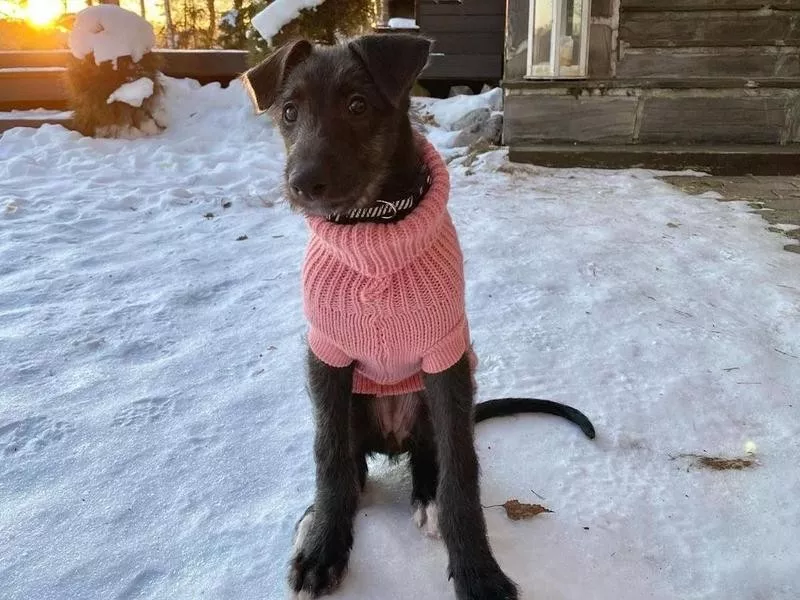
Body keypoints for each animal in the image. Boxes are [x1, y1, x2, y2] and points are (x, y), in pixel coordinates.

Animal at [244, 35, 592, 596]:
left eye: (357, 105)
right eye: (289, 112)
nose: (302, 184)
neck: (374, 228)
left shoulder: (446, 357)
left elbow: (460, 470)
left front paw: (477, 570)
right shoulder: (327, 356)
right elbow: (327, 456)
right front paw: (323, 547)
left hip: (430, 402)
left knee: (431, 456)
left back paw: (426, 496)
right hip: (350, 404)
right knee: (347, 462)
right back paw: (319, 514)